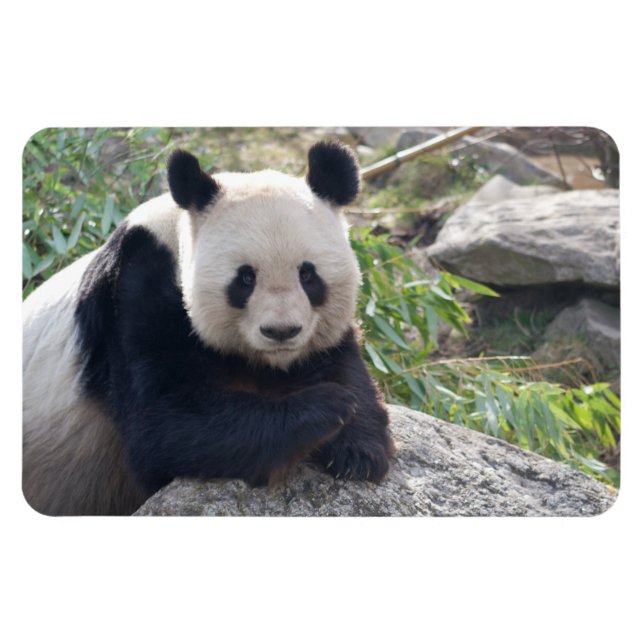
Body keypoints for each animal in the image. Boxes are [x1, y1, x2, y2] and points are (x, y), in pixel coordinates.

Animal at [22, 140, 395, 516]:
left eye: (308, 274)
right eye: (245, 278)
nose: (281, 331)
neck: (175, 231)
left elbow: (337, 361)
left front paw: (357, 449)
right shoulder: (132, 291)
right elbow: (165, 425)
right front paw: (329, 405)